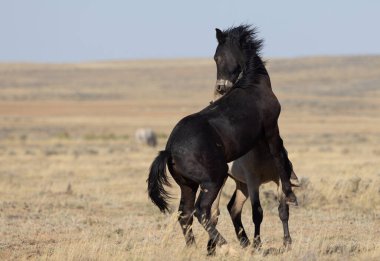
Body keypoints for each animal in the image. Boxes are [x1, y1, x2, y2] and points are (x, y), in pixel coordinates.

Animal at [147, 24, 296, 254]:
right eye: (216, 57)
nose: (220, 87)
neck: (253, 85)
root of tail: (169, 149)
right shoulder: (272, 129)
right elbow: (279, 160)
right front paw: (290, 197)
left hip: (188, 185)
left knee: (185, 213)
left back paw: (193, 248)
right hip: (213, 180)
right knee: (202, 211)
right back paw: (226, 246)